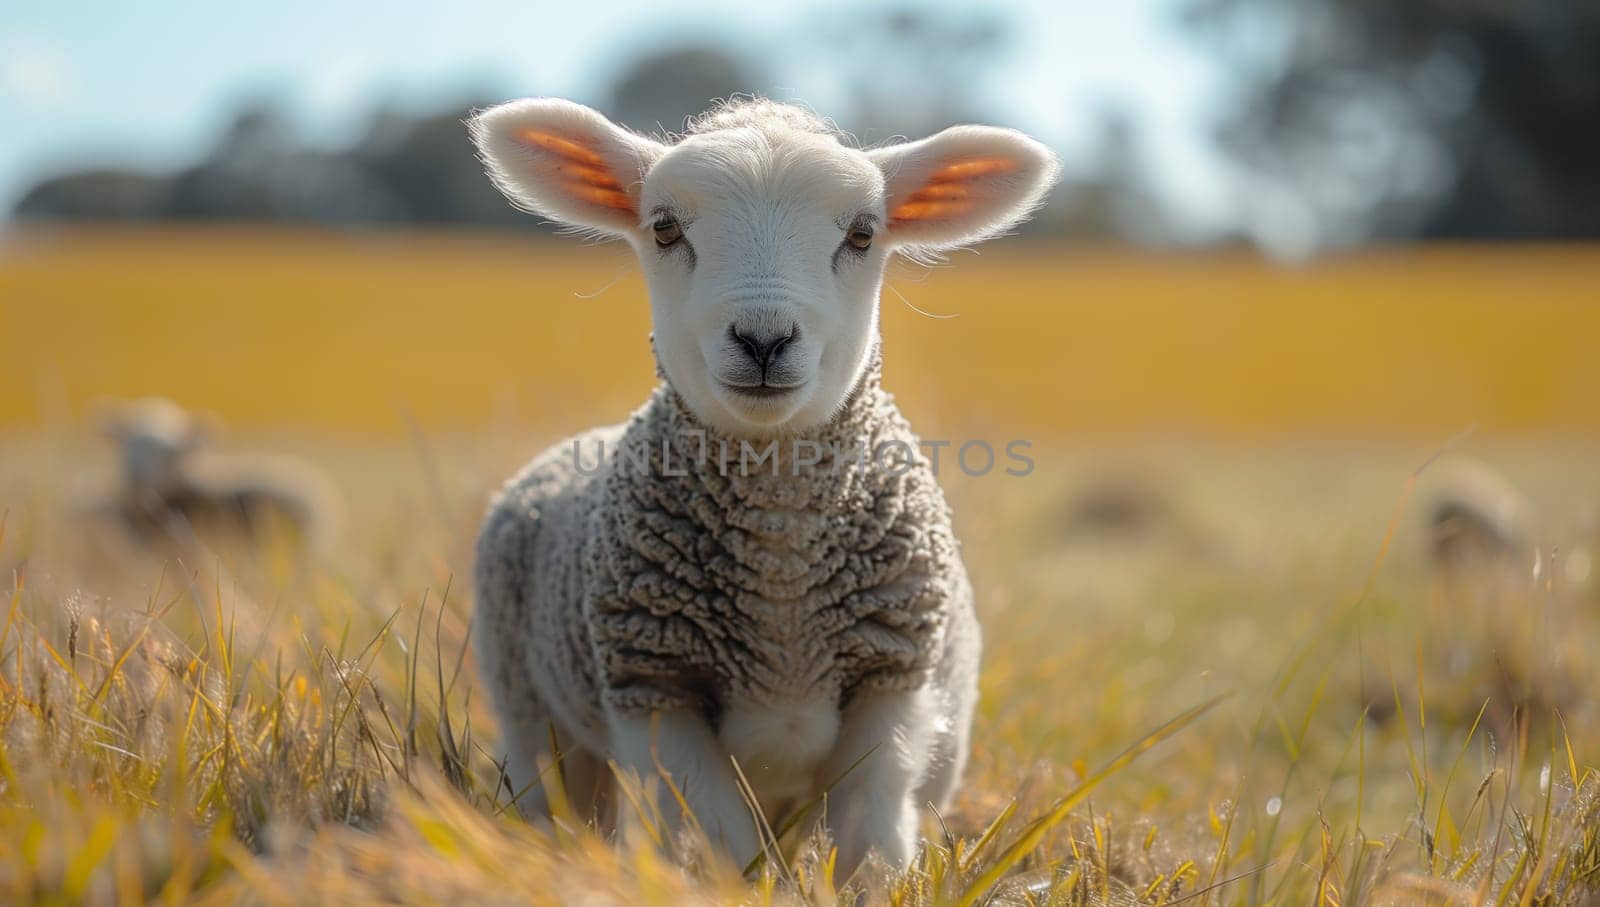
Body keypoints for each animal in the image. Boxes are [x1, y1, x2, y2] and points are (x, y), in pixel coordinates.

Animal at [467, 95, 1056, 876]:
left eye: (863, 233)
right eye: (665, 227)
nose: (764, 340)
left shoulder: (892, 681)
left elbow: (871, 834)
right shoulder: (655, 687)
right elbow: (719, 840)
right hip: (533, 713)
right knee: (560, 806)